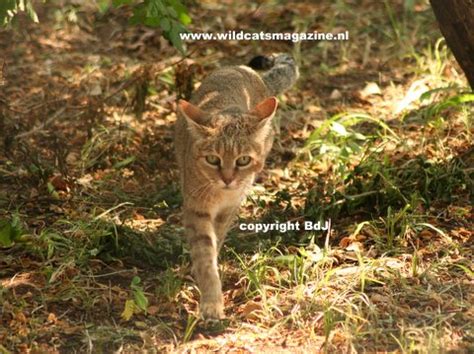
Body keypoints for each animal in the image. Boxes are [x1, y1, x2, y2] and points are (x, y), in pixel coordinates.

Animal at [176, 54, 298, 320]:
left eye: (243, 160)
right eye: (213, 159)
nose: (228, 179)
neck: (219, 195)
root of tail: (243, 69)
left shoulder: (227, 210)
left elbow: (216, 241)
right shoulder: (195, 208)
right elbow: (205, 256)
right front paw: (211, 300)